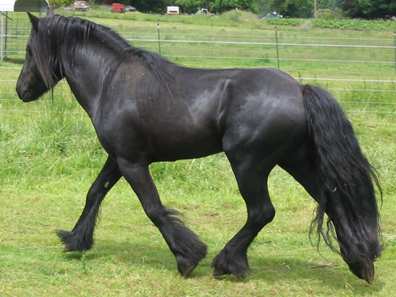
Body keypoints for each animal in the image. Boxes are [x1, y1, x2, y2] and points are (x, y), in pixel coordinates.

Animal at [16, 13, 380, 282]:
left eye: (30, 51)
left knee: (262, 212)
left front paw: (188, 256)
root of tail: (299, 90)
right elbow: (95, 192)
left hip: (249, 164)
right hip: (295, 160)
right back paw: (359, 261)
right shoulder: (118, 158)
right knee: (332, 199)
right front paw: (75, 240)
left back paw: (227, 263)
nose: (21, 90)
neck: (111, 81)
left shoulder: (132, 161)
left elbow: (152, 207)